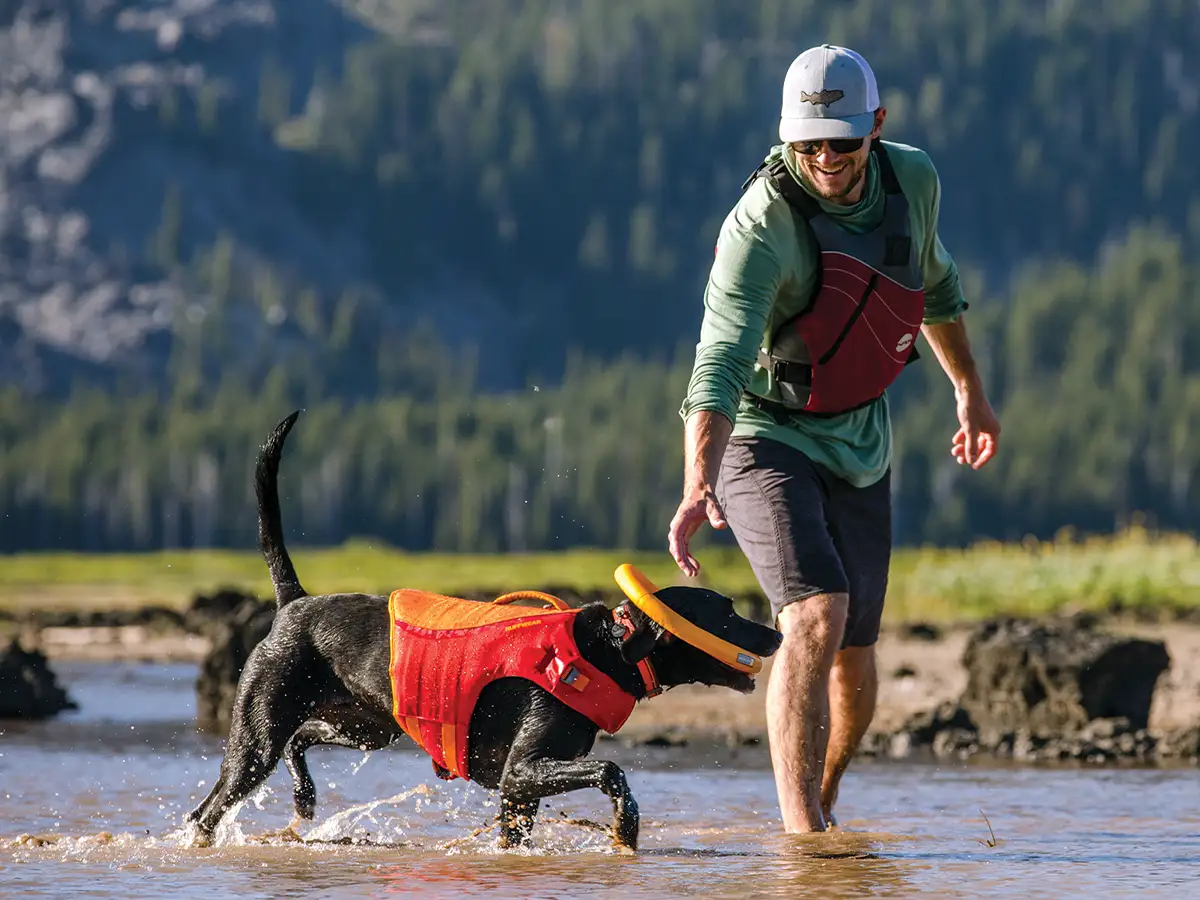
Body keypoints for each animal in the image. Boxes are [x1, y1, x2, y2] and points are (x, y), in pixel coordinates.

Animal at [184, 415, 787, 854]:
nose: (777, 635)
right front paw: (626, 827)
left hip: (366, 727)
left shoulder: (517, 791)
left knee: (302, 738)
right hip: (257, 737)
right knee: (210, 806)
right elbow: (613, 772)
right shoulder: (522, 770)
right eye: (727, 613)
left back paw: (305, 796)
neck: (608, 652)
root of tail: (295, 602)